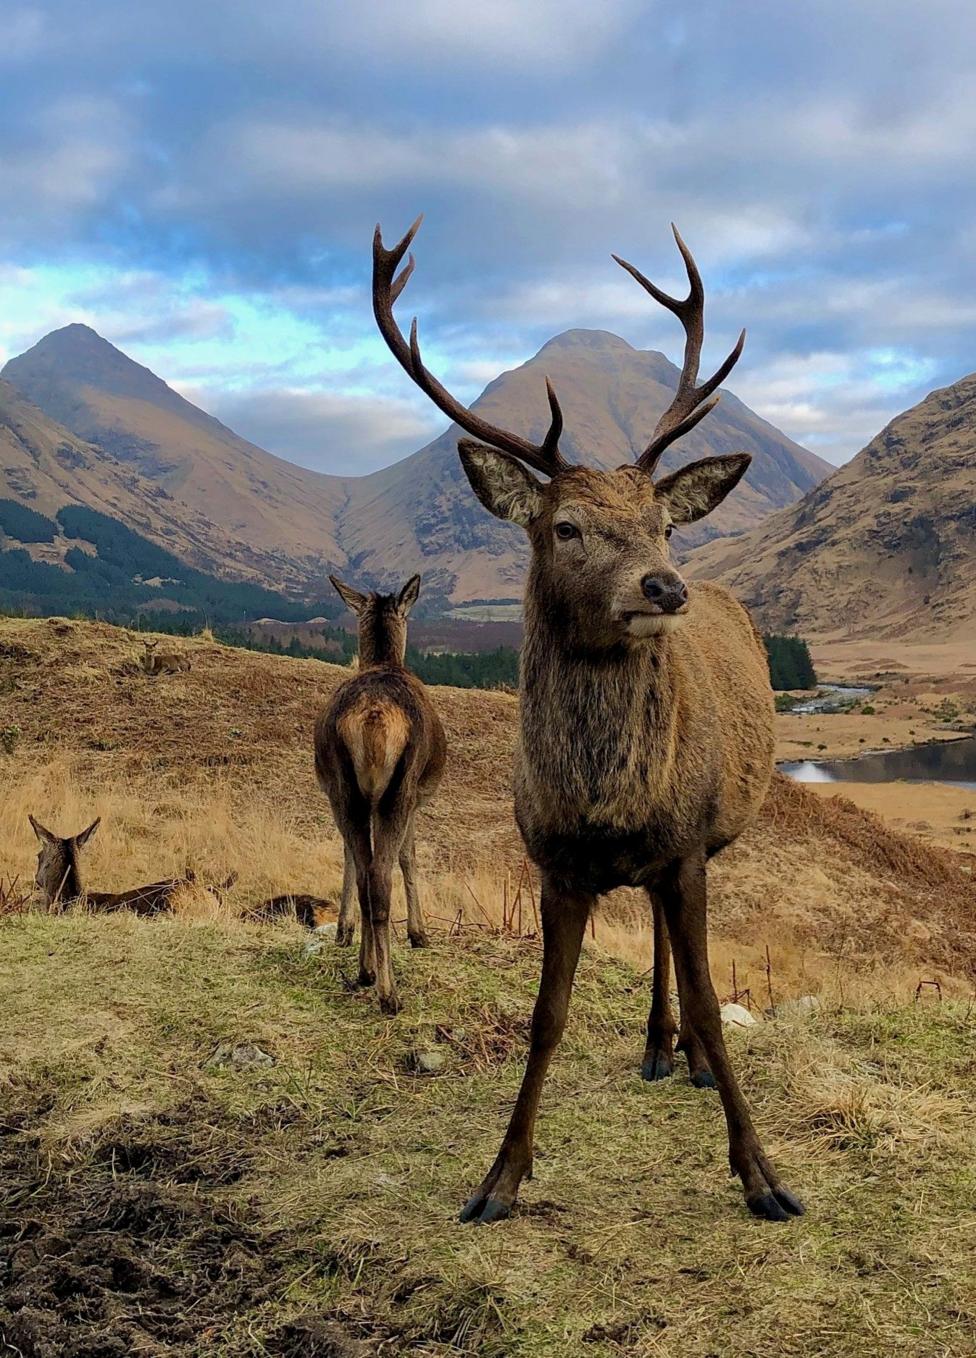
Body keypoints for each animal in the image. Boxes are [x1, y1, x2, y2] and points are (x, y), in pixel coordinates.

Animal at [314, 574, 446, 1014]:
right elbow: (410, 856)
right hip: (397, 791)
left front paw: (344, 930)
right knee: (380, 878)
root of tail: (373, 718)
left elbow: (348, 856)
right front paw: (420, 934)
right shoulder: (416, 796)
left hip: (345, 787)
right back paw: (387, 991)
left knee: (365, 872)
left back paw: (365, 970)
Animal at [372, 217, 804, 1224]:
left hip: (708, 835)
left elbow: (714, 998)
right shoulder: (553, 866)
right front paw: (498, 1178)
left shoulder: (687, 851)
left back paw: (683, 1053)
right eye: (565, 526)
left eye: (663, 524)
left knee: (671, 940)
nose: (665, 586)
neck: (608, 805)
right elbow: (545, 1018)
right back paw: (656, 1045)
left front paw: (763, 1175)